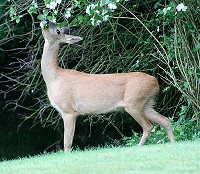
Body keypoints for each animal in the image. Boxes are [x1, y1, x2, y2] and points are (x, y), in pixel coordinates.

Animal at [41, 19, 175, 152]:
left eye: (58, 30)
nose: (46, 20)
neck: (54, 78)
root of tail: (154, 81)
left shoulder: (69, 109)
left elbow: (67, 143)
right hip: (146, 104)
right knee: (165, 120)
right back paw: (173, 143)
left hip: (134, 103)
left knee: (148, 126)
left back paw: (138, 147)